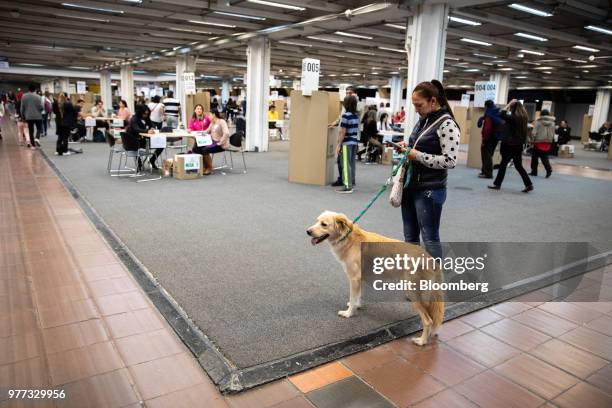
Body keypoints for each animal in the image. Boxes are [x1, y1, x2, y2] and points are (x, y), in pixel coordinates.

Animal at [306, 212, 444, 346]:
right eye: (317, 221)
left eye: (324, 224)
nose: (307, 231)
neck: (347, 238)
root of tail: (430, 259)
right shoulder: (359, 279)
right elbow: (358, 296)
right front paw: (356, 305)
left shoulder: (354, 278)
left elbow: (353, 296)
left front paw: (348, 313)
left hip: (414, 293)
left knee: (428, 321)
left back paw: (422, 341)